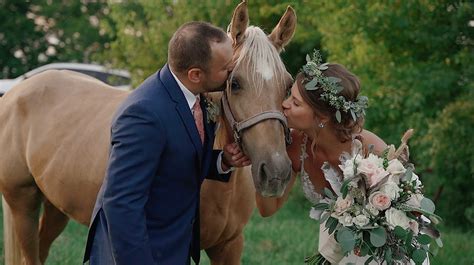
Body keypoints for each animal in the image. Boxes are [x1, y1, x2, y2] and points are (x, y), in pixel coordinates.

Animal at [0, 2, 296, 264]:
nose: (276, 172)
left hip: (55, 206)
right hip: (23, 205)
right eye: (234, 83)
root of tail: (16, 91)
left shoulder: (229, 246)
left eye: (288, 85)